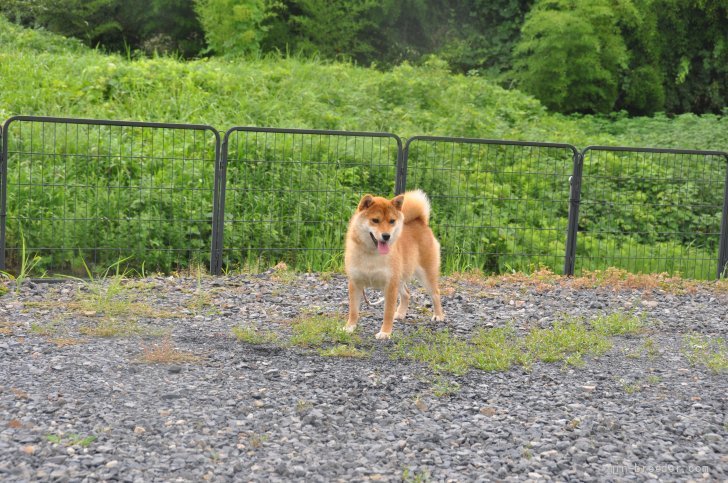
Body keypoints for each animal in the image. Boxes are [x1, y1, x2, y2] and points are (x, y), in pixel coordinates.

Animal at [346, 190, 446, 340]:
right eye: (375, 220)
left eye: (392, 221)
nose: (386, 236)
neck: (372, 255)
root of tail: (420, 221)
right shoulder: (355, 283)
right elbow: (353, 310)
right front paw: (350, 327)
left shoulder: (390, 286)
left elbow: (387, 313)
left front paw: (385, 332)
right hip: (399, 278)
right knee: (406, 294)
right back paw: (399, 314)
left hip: (426, 274)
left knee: (435, 293)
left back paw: (438, 315)